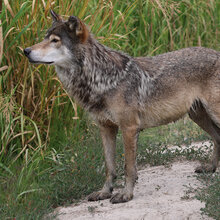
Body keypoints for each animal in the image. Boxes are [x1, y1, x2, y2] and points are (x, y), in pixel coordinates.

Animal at [24, 9, 220, 203]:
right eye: (45, 37)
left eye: (55, 40)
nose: (25, 50)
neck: (101, 78)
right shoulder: (106, 128)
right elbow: (109, 167)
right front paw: (105, 192)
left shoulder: (129, 128)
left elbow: (128, 167)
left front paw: (126, 194)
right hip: (198, 116)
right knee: (217, 137)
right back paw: (210, 168)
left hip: (211, 114)